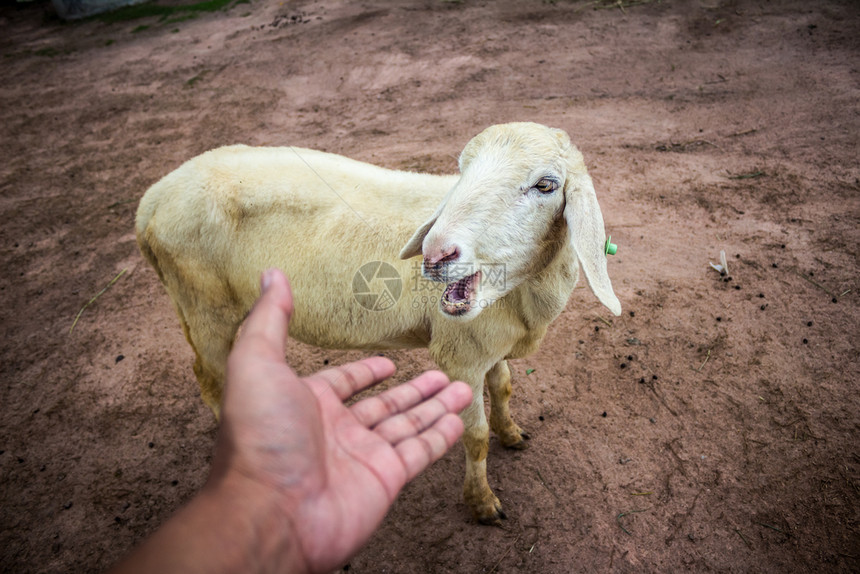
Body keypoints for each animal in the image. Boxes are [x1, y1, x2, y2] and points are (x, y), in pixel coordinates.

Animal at [136, 122, 620, 528]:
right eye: (461, 170)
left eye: (546, 185)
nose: (435, 254)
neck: (519, 296)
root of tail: (151, 201)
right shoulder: (460, 356)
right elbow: (476, 436)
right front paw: (482, 503)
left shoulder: (488, 343)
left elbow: (502, 387)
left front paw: (513, 433)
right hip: (203, 306)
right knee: (208, 376)